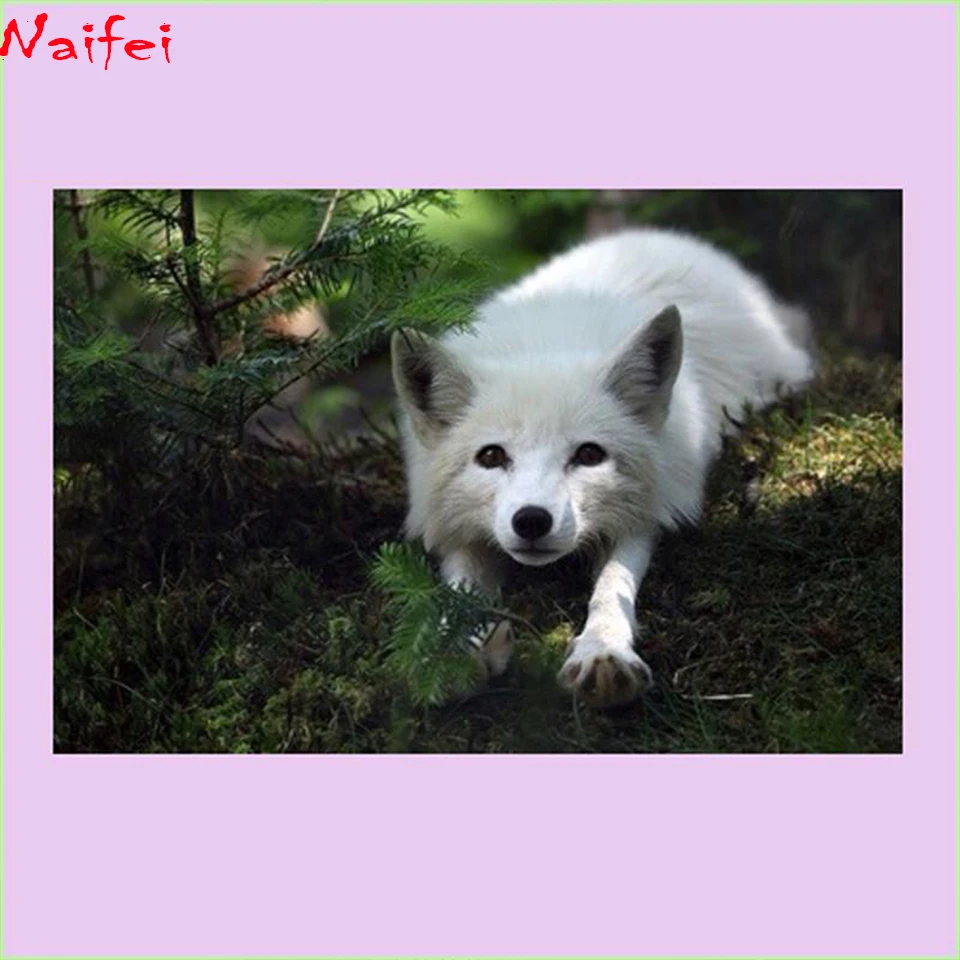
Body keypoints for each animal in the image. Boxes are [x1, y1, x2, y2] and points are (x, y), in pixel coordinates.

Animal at [390, 228, 814, 708]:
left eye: (589, 455)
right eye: (492, 457)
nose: (531, 521)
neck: (545, 343)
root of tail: (660, 237)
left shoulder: (644, 514)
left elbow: (613, 587)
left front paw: (603, 651)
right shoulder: (457, 526)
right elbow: (458, 591)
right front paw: (448, 655)